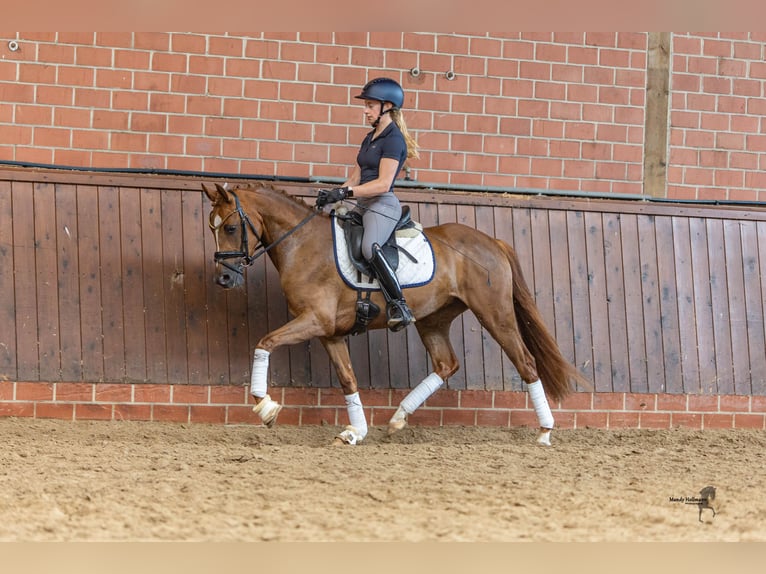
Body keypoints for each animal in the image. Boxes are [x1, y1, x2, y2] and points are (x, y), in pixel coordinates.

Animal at [201, 182, 592, 448]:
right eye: (211, 227)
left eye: (231, 227)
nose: (223, 279)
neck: (304, 245)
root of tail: (491, 241)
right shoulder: (330, 332)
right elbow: (348, 379)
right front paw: (355, 431)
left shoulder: (316, 320)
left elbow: (264, 342)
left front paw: (265, 407)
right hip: (434, 318)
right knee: (446, 364)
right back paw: (398, 418)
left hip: (494, 314)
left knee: (525, 362)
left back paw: (544, 432)